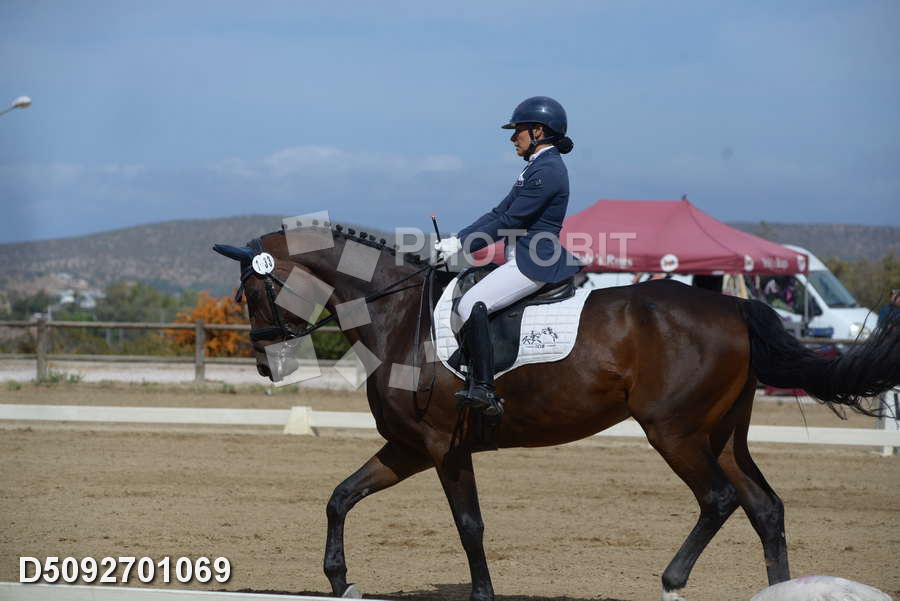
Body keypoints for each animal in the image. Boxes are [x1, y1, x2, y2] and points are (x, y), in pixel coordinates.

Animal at [213, 222, 899, 601]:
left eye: (253, 288)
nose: (265, 363)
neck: (397, 316)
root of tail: (732, 306)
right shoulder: (409, 447)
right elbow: (340, 497)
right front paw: (339, 580)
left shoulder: (441, 446)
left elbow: (470, 525)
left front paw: (483, 594)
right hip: (723, 434)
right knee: (765, 508)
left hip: (674, 431)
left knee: (720, 500)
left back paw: (671, 580)